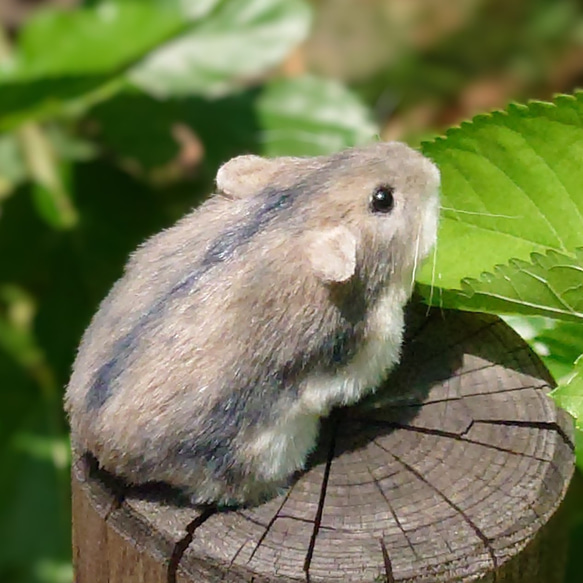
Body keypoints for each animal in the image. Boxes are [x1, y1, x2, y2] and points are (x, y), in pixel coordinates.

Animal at [65, 141, 438, 506]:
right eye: (383, 198)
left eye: (346, 153)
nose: (432, 168)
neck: (300, 210)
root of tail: (96, 444)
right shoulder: (370, 352)